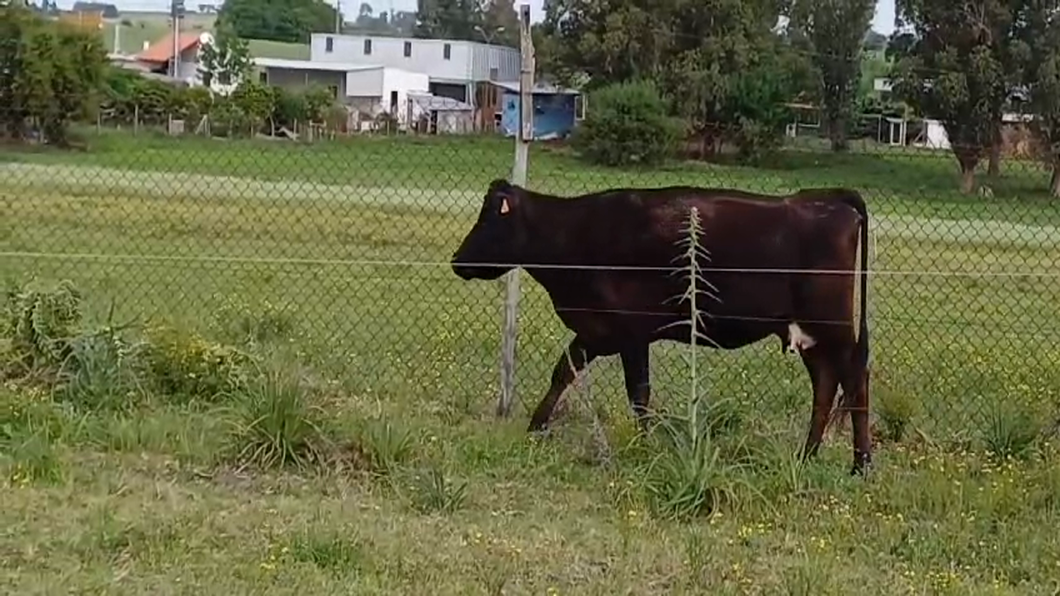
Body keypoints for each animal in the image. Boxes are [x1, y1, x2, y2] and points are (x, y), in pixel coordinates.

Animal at [451, 176, 873, 472]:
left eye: (488, 220)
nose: (456, 261)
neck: (575, 234)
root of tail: (824, 197)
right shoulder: (595, 332)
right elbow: (563, 372)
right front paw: (535, 428)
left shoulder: (631, 333)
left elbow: (638, 393)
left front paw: (644, 447)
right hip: (809, 332)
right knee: (825, 383)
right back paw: (807, 455)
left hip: (832, 324)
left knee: (854, 379)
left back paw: (861, 464)